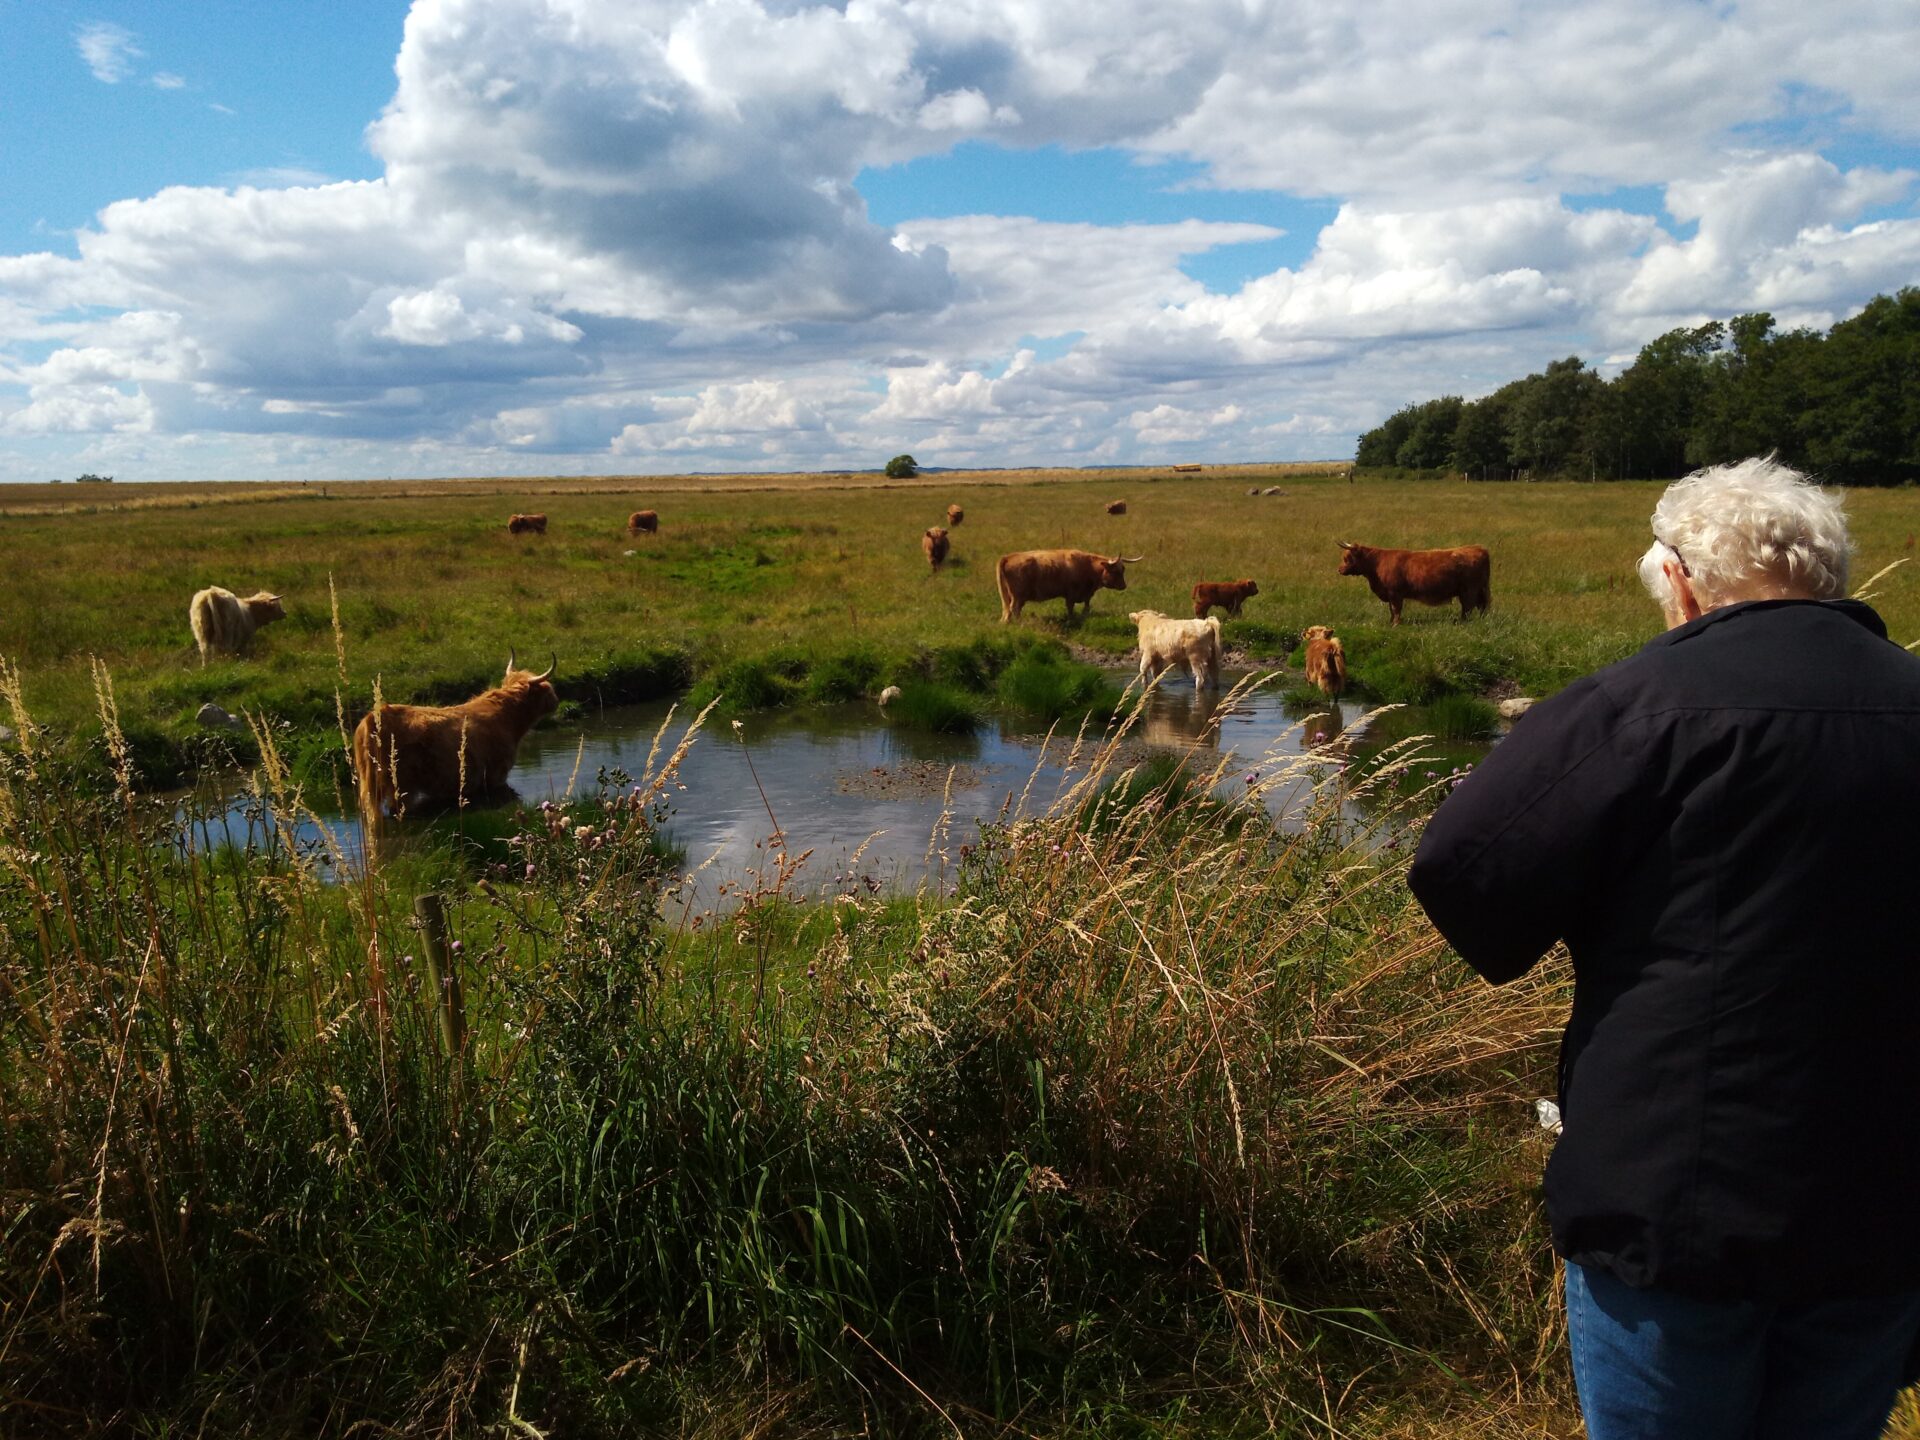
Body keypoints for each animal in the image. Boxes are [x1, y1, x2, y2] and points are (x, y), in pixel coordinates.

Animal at [351, 652, 556, 821]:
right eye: (547, 689)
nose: (555, 700)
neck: (507, 715)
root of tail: (372, 718)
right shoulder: (497, 774)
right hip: (399, 785)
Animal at [990, 549, 1136, 622]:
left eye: (1123, 569)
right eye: (1115, 571)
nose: (1123, 586)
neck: (1087, 566)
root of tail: (1008, 557)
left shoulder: (1085, 594)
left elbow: (1087, 606)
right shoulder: (1071, 593)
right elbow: (1070, 607)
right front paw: (1071, 619)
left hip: (1010, 596)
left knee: (1010, 610)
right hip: (1018, 596)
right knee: (1014, 608)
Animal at [1344, 541, 1489, 625]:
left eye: (1347, 558)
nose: (1340, 569)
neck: (1377, 562)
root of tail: (1478, 548)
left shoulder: (1395, 594)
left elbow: (1396, 609)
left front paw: (1396, 624)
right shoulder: (1391, 595)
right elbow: (1391, 610)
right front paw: (1391, 623)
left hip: (1469, 590)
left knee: (1468, 607)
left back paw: (1463, 622)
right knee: (1480, 607)